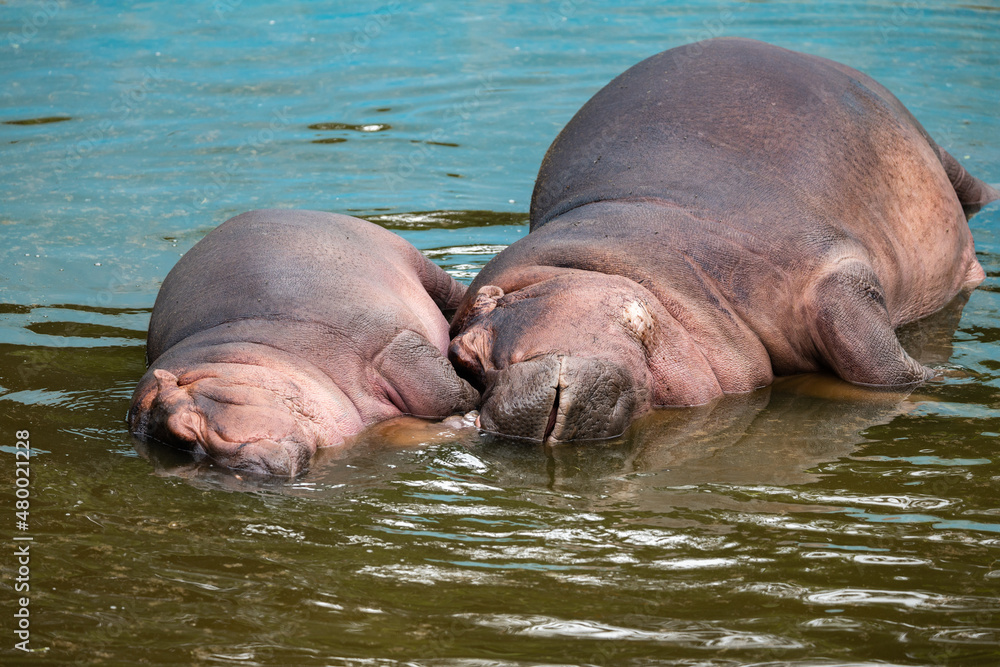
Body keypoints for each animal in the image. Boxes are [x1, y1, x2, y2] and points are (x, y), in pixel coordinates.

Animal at [128, 209, 479, 476]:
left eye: (184, 428)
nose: (242, 472)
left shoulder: (388, 345)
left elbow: (445, 393)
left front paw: (475, 399)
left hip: (414, 262)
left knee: (452, 293)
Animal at [449, 37, 998, 442]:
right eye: (461, 365)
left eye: (469, 353)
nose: (506, 422)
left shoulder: (827, 278)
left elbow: (877, 364)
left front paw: (945, 380)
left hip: (933, 152)